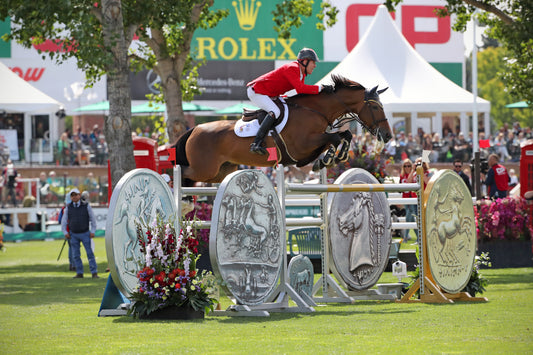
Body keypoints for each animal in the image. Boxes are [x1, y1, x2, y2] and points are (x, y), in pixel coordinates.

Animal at [171, 75, 390, 186]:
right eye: (375, 107)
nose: (388, 136)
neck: (315, 110)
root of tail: (194, 129)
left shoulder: (308, 149)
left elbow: (344, 135)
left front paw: (332, 158)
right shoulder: (302, 146)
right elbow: (335, 137)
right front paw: (329, 159)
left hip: (220, 171)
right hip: (203, 168)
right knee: (182, 171)